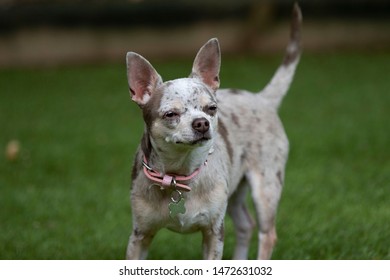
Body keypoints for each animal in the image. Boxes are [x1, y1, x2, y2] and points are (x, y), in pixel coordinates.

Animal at [125, 3, 302, 260]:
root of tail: (262, 98)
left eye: (211, 109)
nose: (202, 123)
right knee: (245, 224)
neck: (179, 174)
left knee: (266, 234)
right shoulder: (139, 235)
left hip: (266, 186)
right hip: (236, 190)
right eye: (171, 114)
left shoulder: (214, 232)